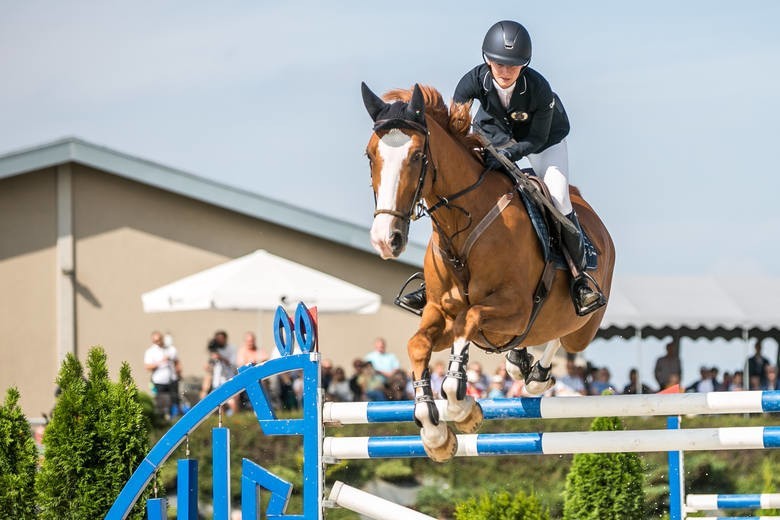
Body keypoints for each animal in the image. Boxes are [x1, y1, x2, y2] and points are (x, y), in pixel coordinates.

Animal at [362, 83, 616, 462]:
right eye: (370, 156)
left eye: (418, 156)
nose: (385, 239)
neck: (461, 229)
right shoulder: (439, 313)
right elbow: (418, 345)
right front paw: (435, 433)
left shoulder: (513, 309)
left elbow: (468, 322)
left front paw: (461, 407)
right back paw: (517, 361)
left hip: (582, 324)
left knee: (565, 336)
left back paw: (537, 375)